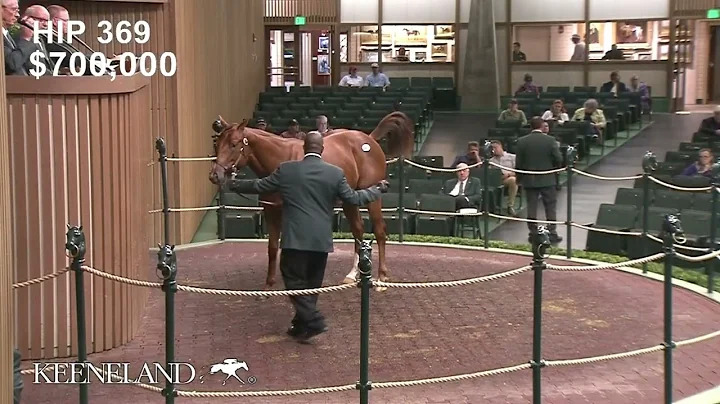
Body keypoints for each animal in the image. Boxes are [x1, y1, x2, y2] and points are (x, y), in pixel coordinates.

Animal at [208, 111, 414, 290]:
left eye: (234, 144)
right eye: (217, 144)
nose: (215, 175)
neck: (280, 158)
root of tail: (368, 139)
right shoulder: (271, 209)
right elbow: (273, 247)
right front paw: (269, 286)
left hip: (372, 198)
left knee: (379, 231)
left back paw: (382, 277)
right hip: (349, 200)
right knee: (358, 230)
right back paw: (352, 274)